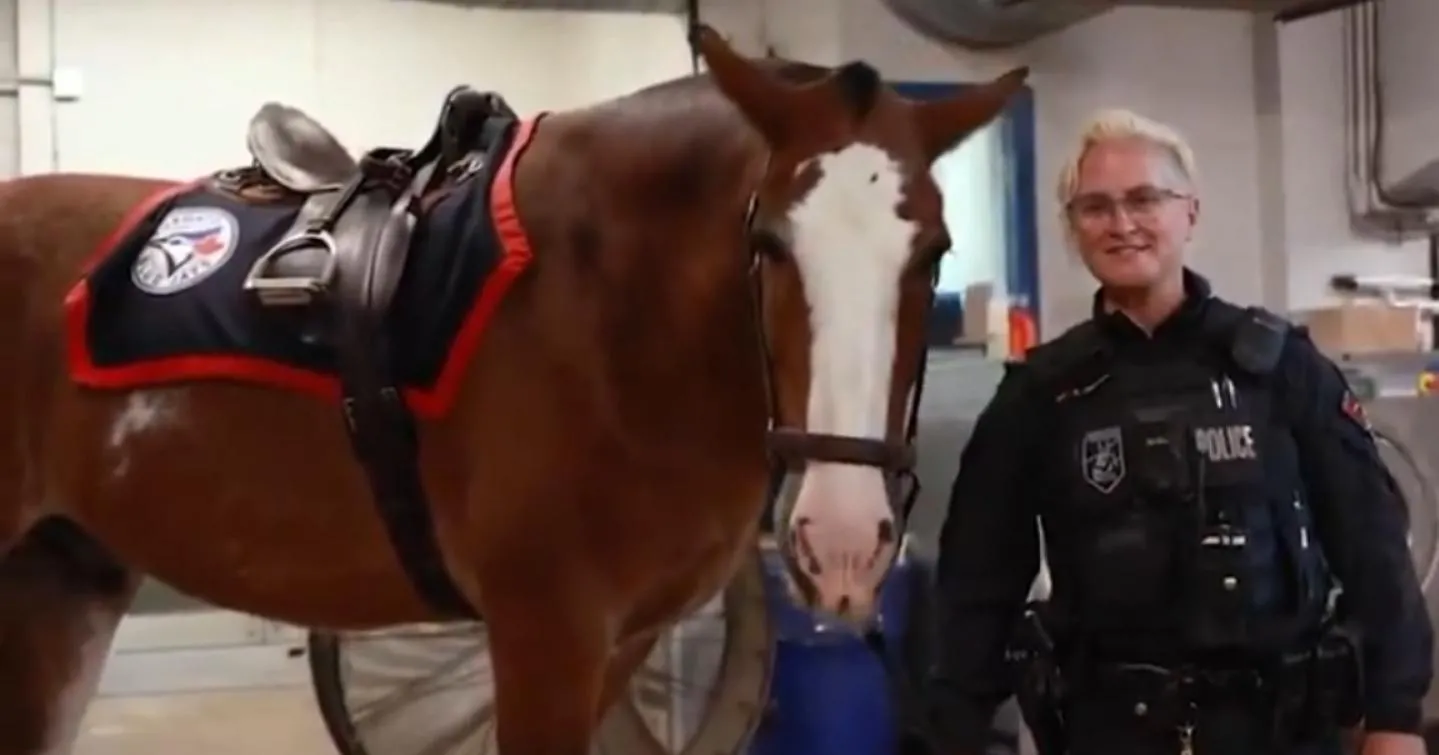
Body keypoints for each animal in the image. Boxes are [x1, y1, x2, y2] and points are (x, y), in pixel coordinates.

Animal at [0, 26, 1026, 755]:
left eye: (932, 252)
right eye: (768, 241)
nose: (844, 540)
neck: (607, 303)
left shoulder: (618, 645)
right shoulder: (545, 634)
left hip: (59, 585)